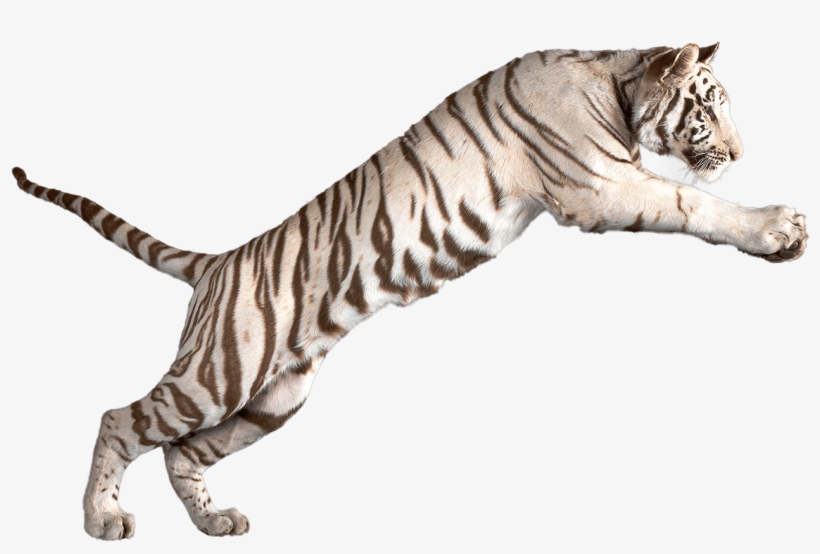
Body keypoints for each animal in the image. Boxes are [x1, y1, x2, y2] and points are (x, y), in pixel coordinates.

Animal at [12, 42, 808, 540]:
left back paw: (214, 522)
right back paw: (100, 521)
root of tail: (219, 262)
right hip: (218, 373)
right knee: (118, 419)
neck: (616, 81)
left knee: (183, 451)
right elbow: (692, 202)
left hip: (274, 399)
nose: (739, 152)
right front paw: (777, 227)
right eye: (708, 107)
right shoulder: (601, 186)